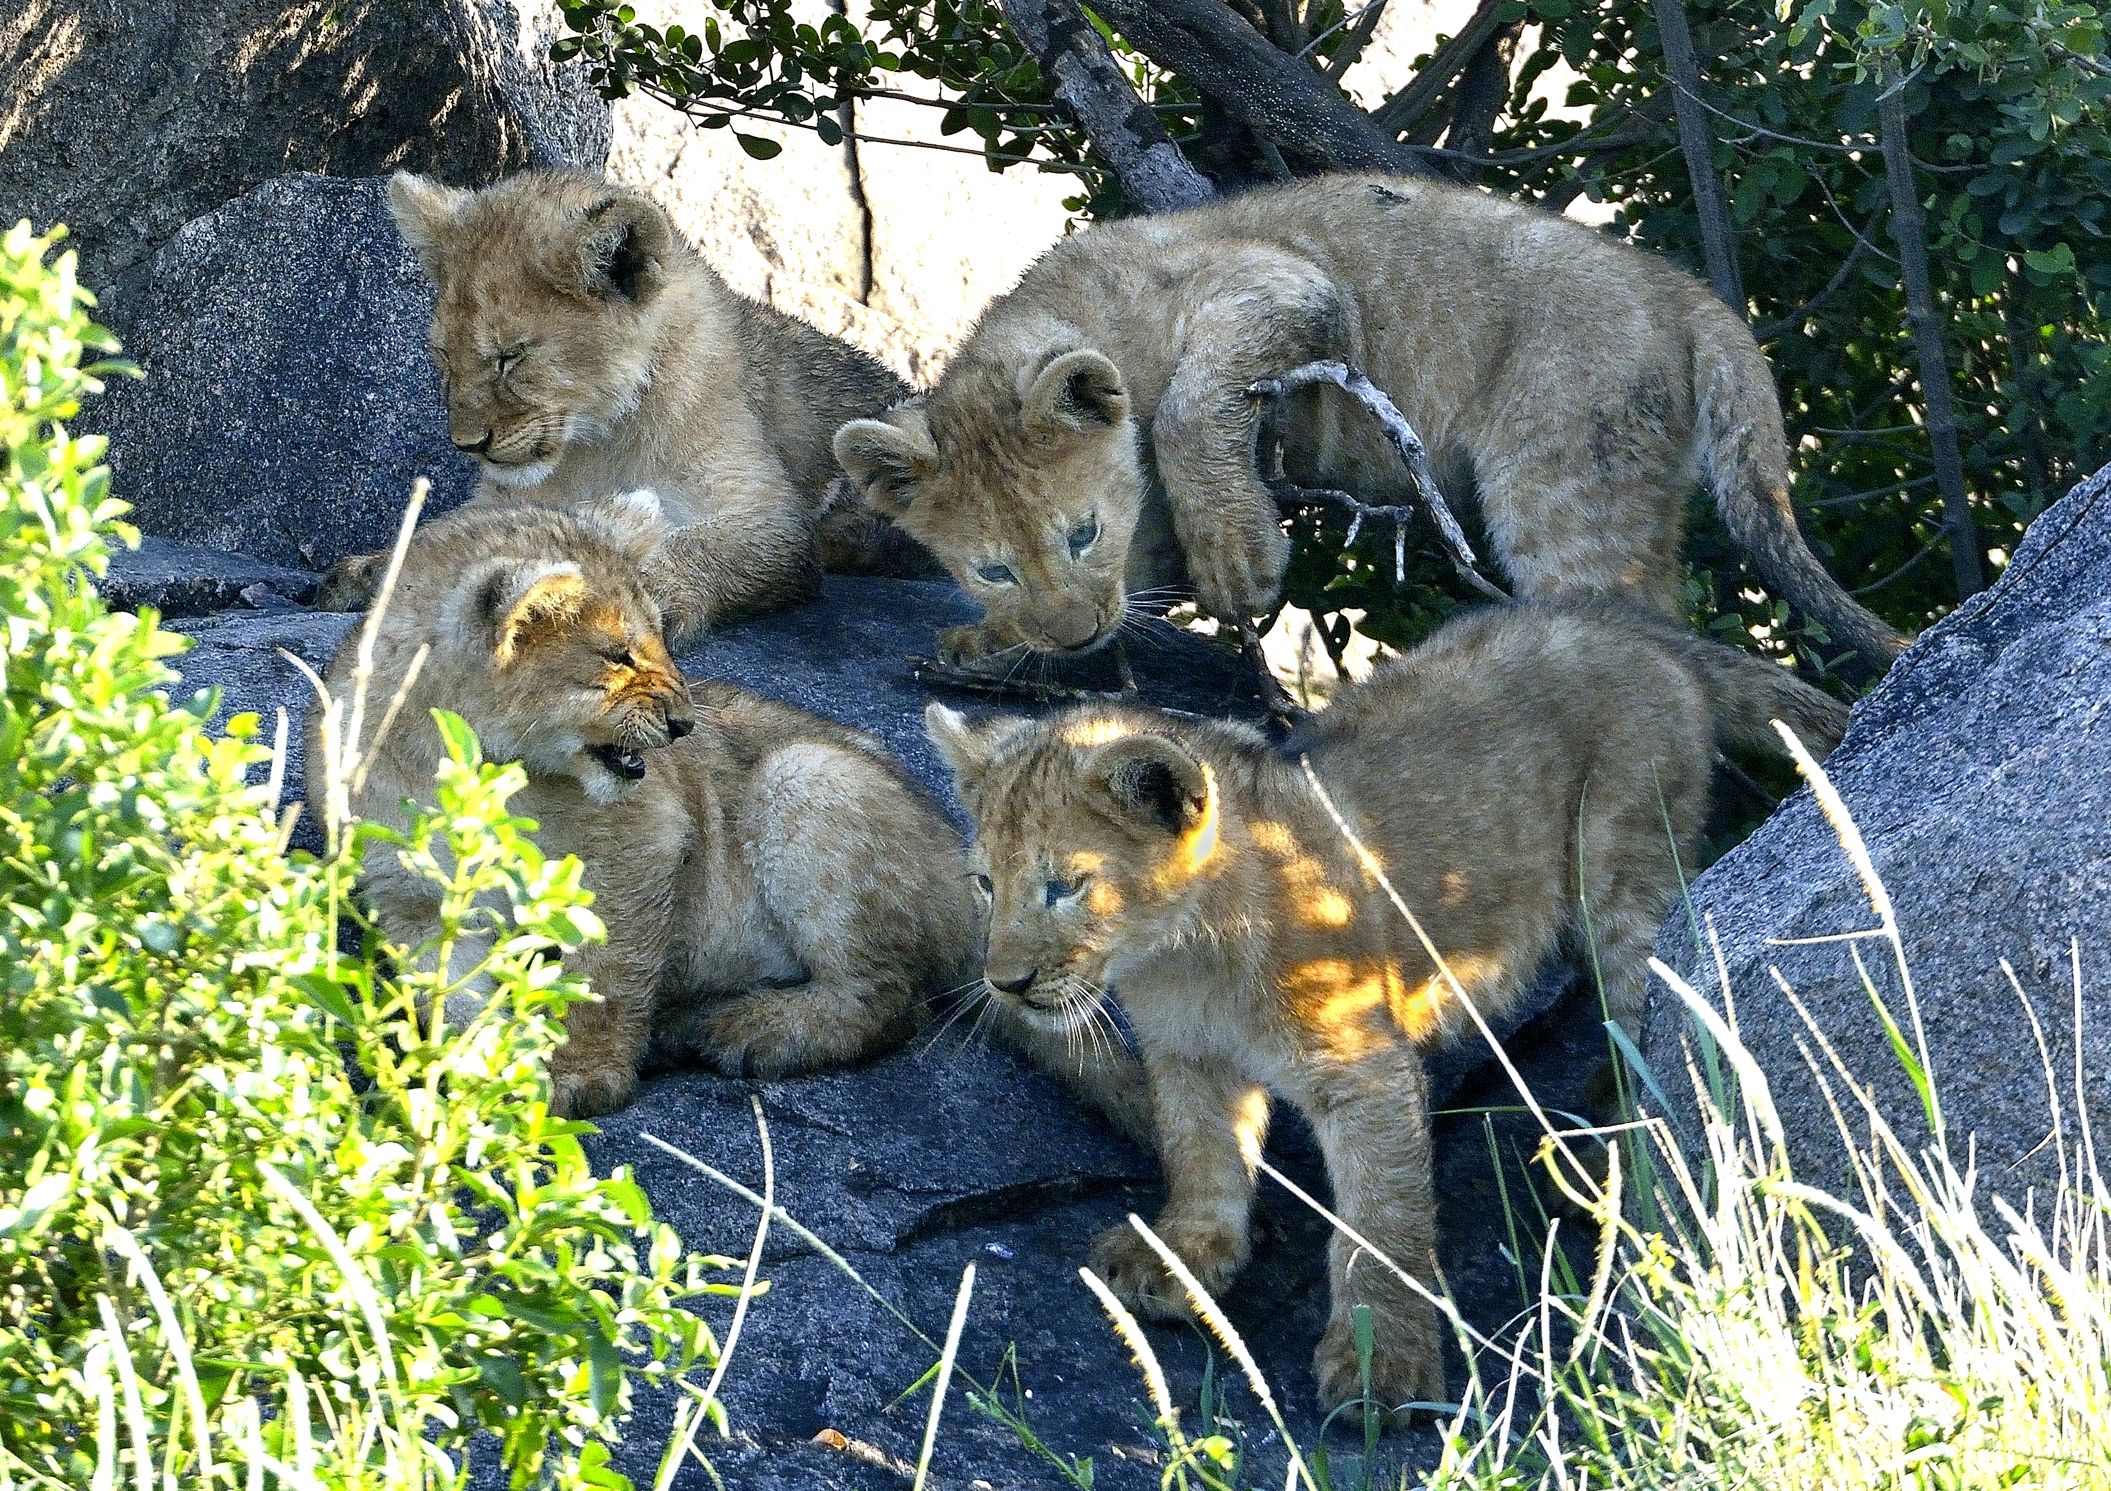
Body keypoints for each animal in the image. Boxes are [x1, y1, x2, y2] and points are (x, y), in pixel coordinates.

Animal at [308, 501, 1153, 1128]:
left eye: (663, 637)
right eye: (617, 654)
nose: (684, 724)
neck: (457, 764)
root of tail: (979, 883)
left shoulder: (640, 837)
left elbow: (603, 973)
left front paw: (583, 1076)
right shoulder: (406, 895)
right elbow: (450, 989)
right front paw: (475, 1072)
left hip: (805, 777)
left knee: (891, 998)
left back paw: (744, 1030)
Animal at [314, 167, 930, 637]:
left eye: (511, 357)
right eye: (443, 355)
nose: (468, 445)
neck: (598, 439)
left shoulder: (769, 516)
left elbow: (701, 545)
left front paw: (633, 594)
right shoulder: (507, 498)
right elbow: (437, 536)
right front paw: (365, 572)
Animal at [836, 173, 1907, 673]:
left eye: (1079, 532)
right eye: (991, 568)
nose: (1069, 635)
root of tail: (1681, 291)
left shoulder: (1283, 284)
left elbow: (1188, 405)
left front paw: (1238, 558)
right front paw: (992, 640)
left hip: (1566, 472)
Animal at [926, 599, 1847, 1420]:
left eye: (1066, 886)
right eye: (985, 882)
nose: (1004, 981)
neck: (1182, 955)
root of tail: (1629, 623)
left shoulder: (1362, 1068)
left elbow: (1379, 1217)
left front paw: (1383, 1364)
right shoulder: (1187, 1057)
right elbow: (1200, 1155)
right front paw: (1184, 1258)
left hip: (1621, 860)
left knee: (1648, 990)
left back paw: (1608, 1141)